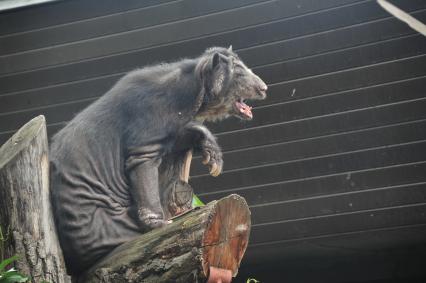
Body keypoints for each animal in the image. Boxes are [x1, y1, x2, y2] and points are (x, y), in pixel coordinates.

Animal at [50, 46, 266, 276]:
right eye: (239, 72)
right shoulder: (147, 122)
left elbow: (179, 137)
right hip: (108, 227)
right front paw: (160, 224)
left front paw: (212, 157)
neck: (194, 90)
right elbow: (143, 164)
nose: (264, 88)